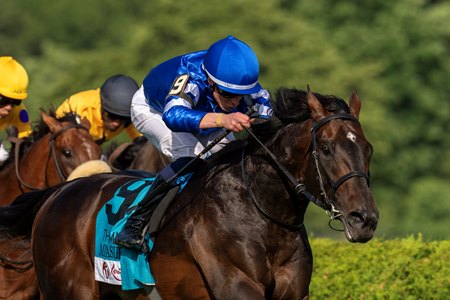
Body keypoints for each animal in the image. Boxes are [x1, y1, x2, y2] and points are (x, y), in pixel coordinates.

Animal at [25, 88, 376, 298]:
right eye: (326, 148)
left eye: (367, 149)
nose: (365, 219)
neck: (264, 214)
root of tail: (57, 194)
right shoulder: (236, 285)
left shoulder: (294, 291)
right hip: (70, 289)